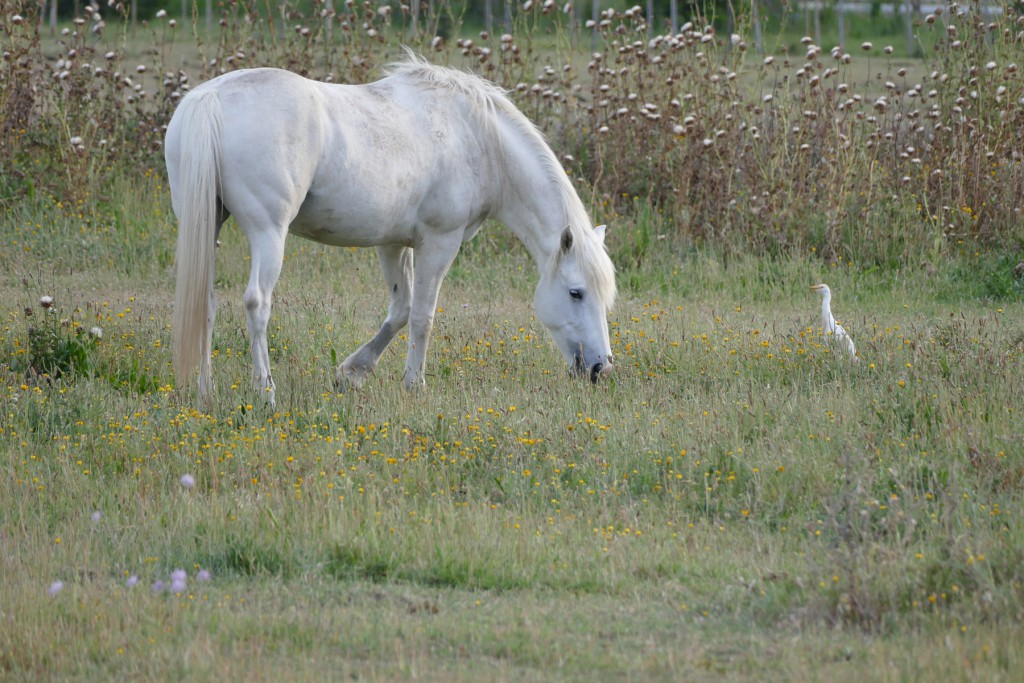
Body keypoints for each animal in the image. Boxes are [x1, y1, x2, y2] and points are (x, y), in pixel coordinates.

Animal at [165, 54, 614, 405]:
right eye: (576, 293)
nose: (601, 368)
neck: (478, 136)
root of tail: (210, 98)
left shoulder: (394, 244)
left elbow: (399, 311)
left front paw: (351, 373)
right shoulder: (439, 243)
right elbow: (422, 316)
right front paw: (414, 384)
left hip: (208, 227)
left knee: (204, 303)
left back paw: (205, 392)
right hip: (268, 233)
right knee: (257, 303)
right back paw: (266, 393)